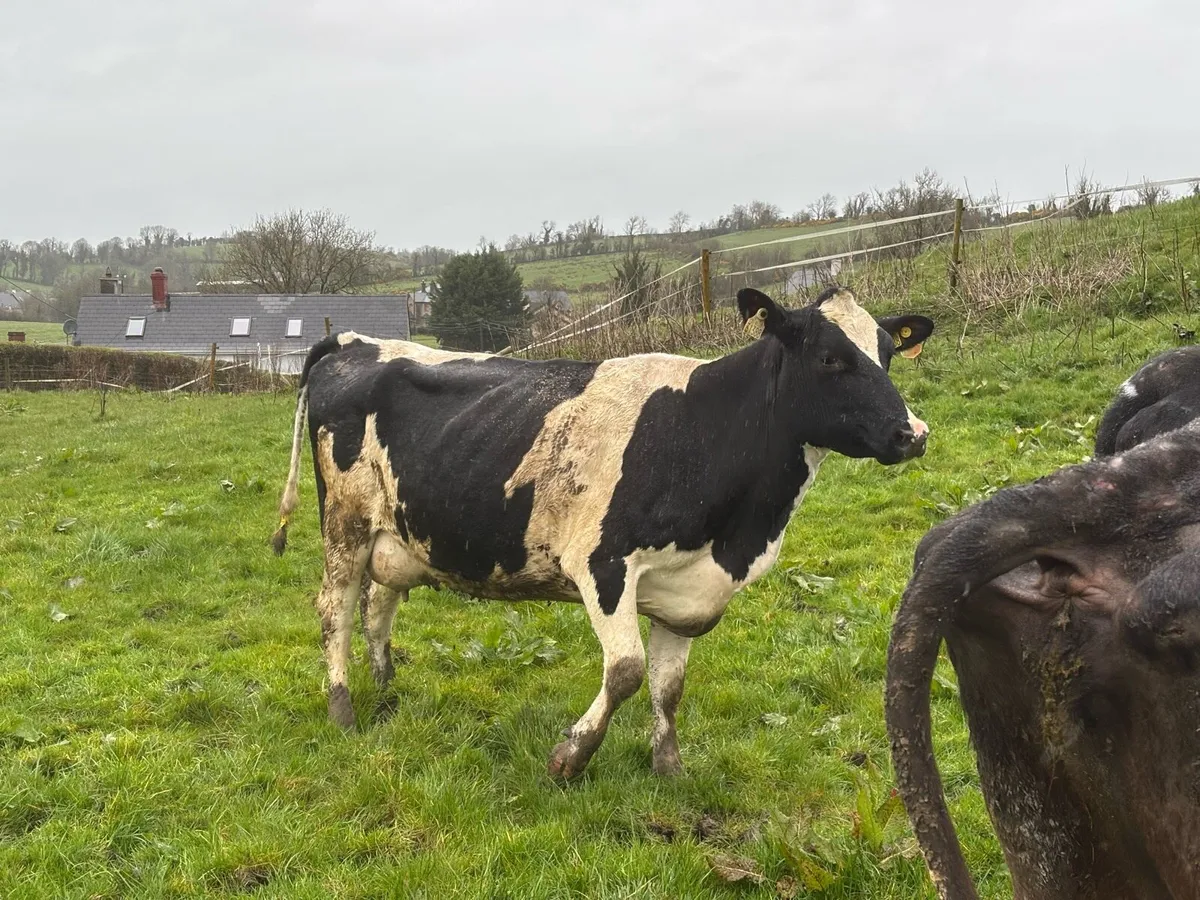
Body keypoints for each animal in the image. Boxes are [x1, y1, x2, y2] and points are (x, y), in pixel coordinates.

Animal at [273, 286, 935, 780]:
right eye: (830, 358)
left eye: (887, 354)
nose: (913, 433)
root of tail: (353, 341)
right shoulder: (603, 565)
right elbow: (627, 672)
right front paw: (571, 755)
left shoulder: (689, 593)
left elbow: (669, 686)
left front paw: (668, 767)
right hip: (345, 525)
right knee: (334, 608)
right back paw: (344, 709)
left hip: (399, 535)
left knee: (378, 607)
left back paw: (387, 693)